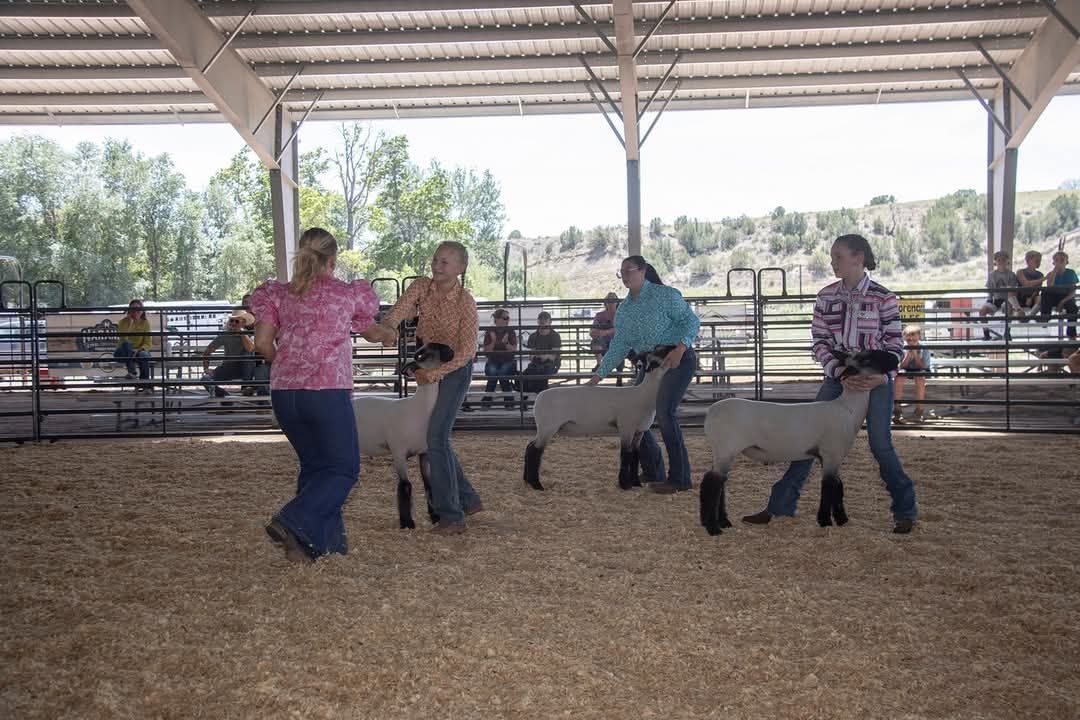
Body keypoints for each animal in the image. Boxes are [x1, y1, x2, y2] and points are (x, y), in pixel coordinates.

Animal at [356, 343, 453, 528]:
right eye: (423, 355)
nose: (451, 350)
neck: (419, 409)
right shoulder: (399, 453)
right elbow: (405, 486)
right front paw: (407, 522)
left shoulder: (424, 452)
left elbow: (429, 485)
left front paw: (435, 516)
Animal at [522, 343, 673, 490]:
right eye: (661, 351)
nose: (674, 347)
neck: (644, 395)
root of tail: (539, 398)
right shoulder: (626, 428)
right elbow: (625, 455)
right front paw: (625, 484)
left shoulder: (639, 431)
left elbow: (635, 456)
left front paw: (636, 483)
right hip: (548, 426)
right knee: (535, 450)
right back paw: (536, 484)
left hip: (544, 427)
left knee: (530, 446)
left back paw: (526, 480)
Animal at [695, 349, 898, 535]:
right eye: (867, 358)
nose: (895, 358)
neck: (848, 409)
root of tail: (710, 411)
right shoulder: (831, 453)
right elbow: (829, 486)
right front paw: (825, 521)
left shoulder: (833, 457)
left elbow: (838, 485)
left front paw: (841, 519)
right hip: (726, 448)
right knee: (712, 484)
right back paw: (713, 528)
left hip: (722, 451)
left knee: (719, 482)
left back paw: (723, 522)